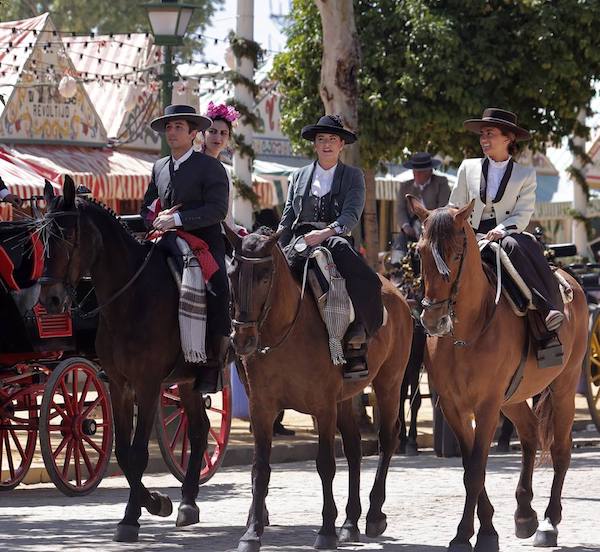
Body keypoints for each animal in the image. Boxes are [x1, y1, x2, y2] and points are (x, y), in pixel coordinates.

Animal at [38, 178, 213, 544]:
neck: (131, 299)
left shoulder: (147, 386)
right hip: (188, 380)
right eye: (42, 238)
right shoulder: (120, 386)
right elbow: (124, 453)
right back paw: (188, 503)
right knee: (199, 429)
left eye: (68, 235)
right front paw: (152, 503)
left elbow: (139, 453)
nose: (51, 299)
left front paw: (136, 515)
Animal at [225, 226, 412, 548]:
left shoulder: (322, 407)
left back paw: (374, 515)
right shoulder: (261, 408)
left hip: (389, 382)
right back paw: (350, 522)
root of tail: (397, 293)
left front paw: (325, 530)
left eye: (265, 276)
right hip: (346, 399)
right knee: (353, 447)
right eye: (232, 273)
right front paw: (252, 533)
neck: (286, 333)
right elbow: (260, 468)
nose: (243, 339)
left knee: (388, 439)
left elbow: (325, 464)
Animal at [410, 198, 588, 552]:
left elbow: (476, 469)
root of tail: (569, 277)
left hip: (563, 387)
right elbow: (470, 467)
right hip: (514, 398)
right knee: (530, 433)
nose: (432, 319)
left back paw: (548, 522)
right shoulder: (453, 406)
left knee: (561, 449)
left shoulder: (487, 406)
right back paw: (525, 513)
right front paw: (486, 529)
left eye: (456, 254)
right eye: (420, 252)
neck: (467, 330)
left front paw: (467, 534)